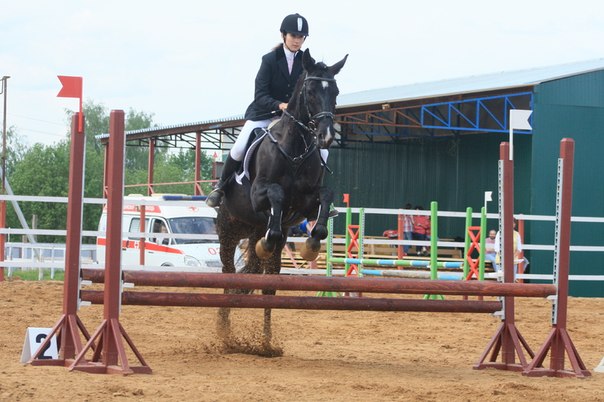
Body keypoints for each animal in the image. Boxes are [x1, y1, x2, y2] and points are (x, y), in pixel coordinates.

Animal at [215, 49, 347, 352]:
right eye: (310, 91)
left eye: (335, 91)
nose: (326, 137)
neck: (295, 147)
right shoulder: (259, 194)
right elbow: (276, 194)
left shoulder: (306, 203)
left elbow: (326, 196)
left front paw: (312, 244)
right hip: (228, 232)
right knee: (228, 275)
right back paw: (225, 335)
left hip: (254, 233)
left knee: (265, 284)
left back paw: (265, 343)